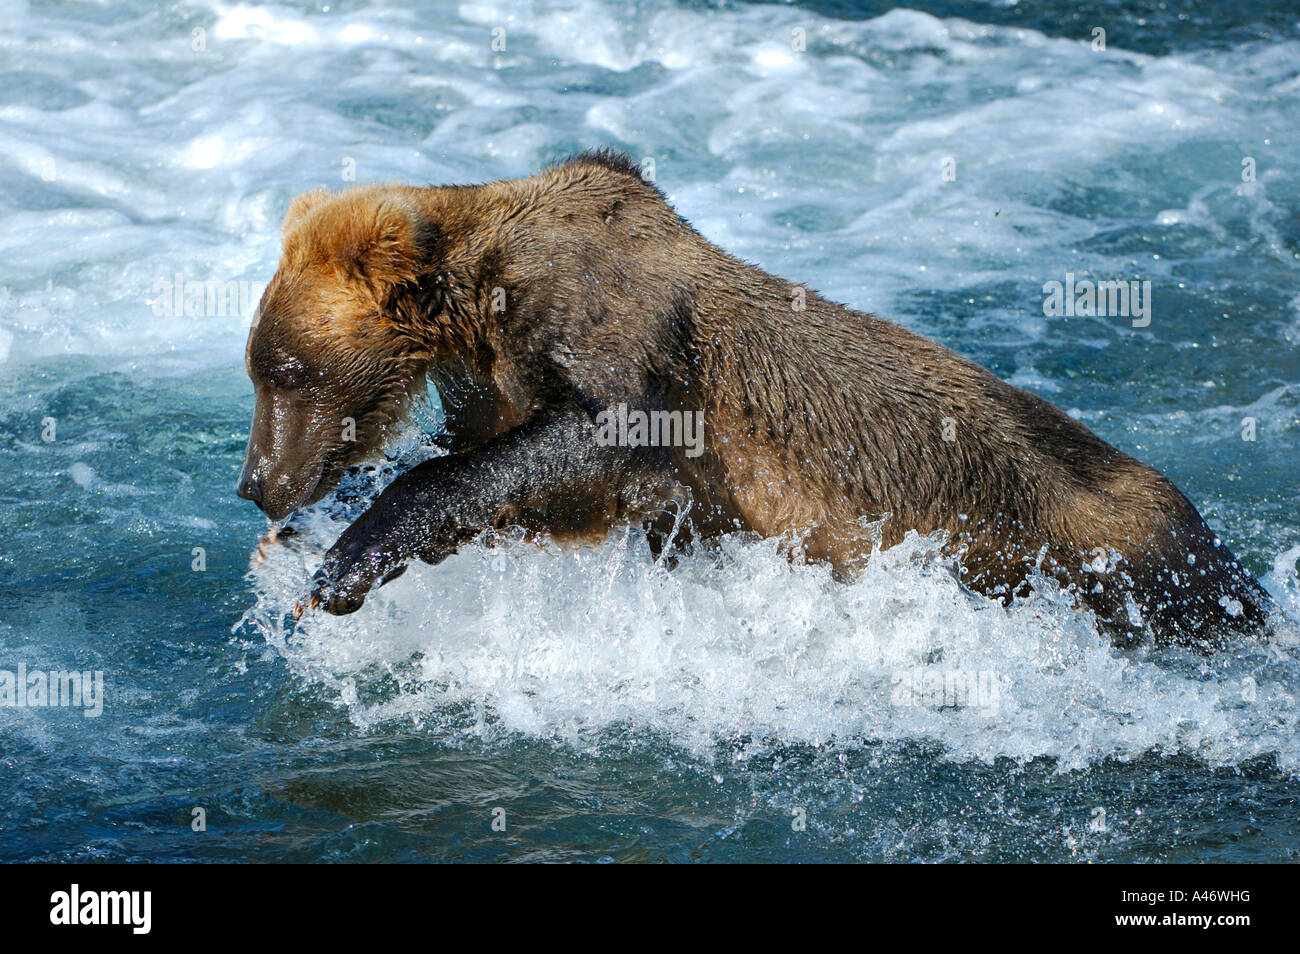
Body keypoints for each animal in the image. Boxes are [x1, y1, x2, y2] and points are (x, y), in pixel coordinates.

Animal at [239, 149, 1274, 655]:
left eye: (284, 371)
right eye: (258, 368)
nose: (256, 483)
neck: (480, 301)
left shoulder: (620, 335)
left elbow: (590, 445)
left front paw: (345, 561)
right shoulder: (503, 377)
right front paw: (306, 541)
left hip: (1113, 550)